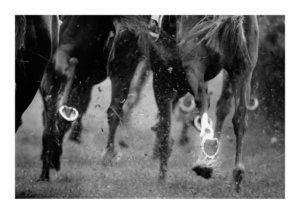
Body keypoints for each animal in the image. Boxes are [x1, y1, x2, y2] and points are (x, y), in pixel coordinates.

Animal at [151, 15, 258, 191]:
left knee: (203, 103)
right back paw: (236, 173)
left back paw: (204, 163)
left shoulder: (162, 81)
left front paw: (161, 179)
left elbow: (165, 130)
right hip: (243, 71)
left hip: (195, 64)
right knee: (240, 117)